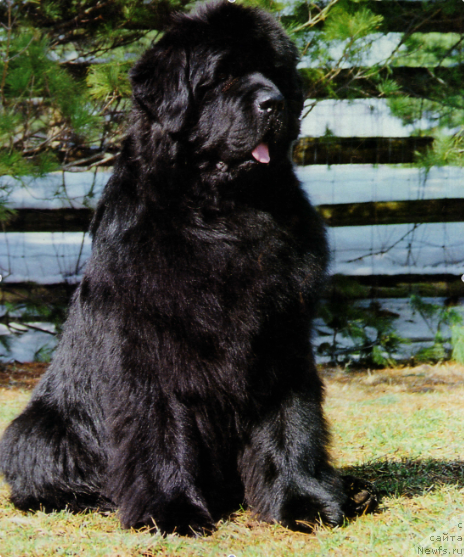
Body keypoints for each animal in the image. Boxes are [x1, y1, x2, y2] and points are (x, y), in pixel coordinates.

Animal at [0, 0, 376, 536]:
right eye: (221, 77)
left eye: (275, 73)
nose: (274, 103)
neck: (222, 215)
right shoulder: (150, 349)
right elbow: (160, 428)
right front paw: (171, 510)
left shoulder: (280, 338)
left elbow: (293, 423)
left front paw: (302, 500)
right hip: (35, 429)